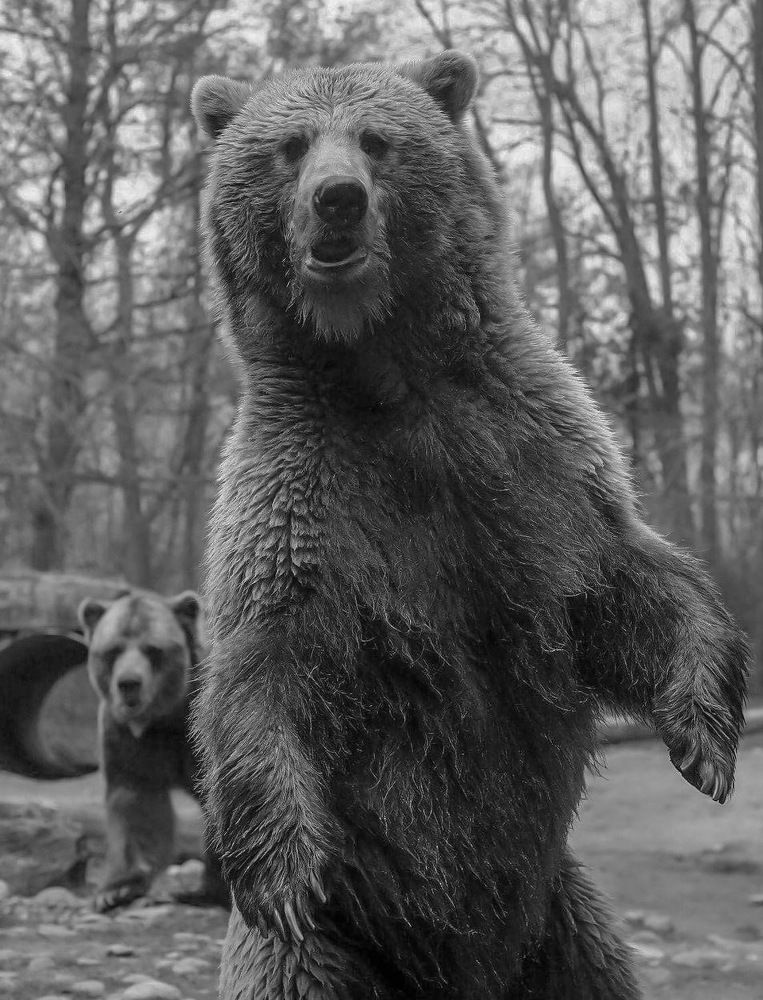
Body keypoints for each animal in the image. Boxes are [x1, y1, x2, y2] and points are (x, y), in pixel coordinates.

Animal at [78, 590, 229, 913]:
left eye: (152, 650)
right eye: (113, 650)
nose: (129, 683)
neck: (166, 717)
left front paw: (211, 892)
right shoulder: (127, 737)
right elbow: (138, 802)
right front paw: (117, 890)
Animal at [190, 51, 749, 999]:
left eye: (377, 140)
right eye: (289, 145)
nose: (337, 198)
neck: (383, 373)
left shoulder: (530, 468)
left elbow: (628, 586)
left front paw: (704, 744)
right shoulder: (300, 505)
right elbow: (263, 664)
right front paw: (283, 875)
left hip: (560, 924)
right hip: (347, 947)